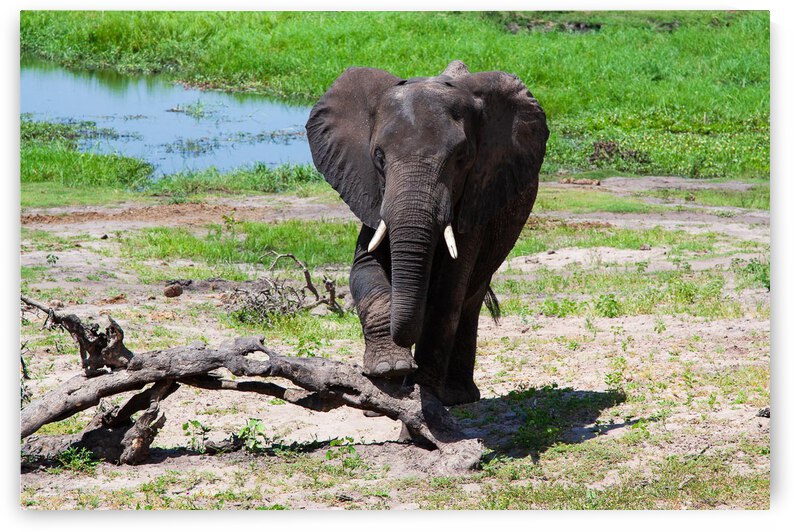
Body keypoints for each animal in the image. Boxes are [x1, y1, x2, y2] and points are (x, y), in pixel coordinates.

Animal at [306, 60, 548, 406]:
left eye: (461, 158)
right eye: (378, 156)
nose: (406, 370)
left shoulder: (476, 195)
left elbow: (448, 293)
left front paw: (424, 398)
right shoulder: (370, 189)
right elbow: (364, 269)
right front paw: (388, 371)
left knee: (469, 298)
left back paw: (457, 397)